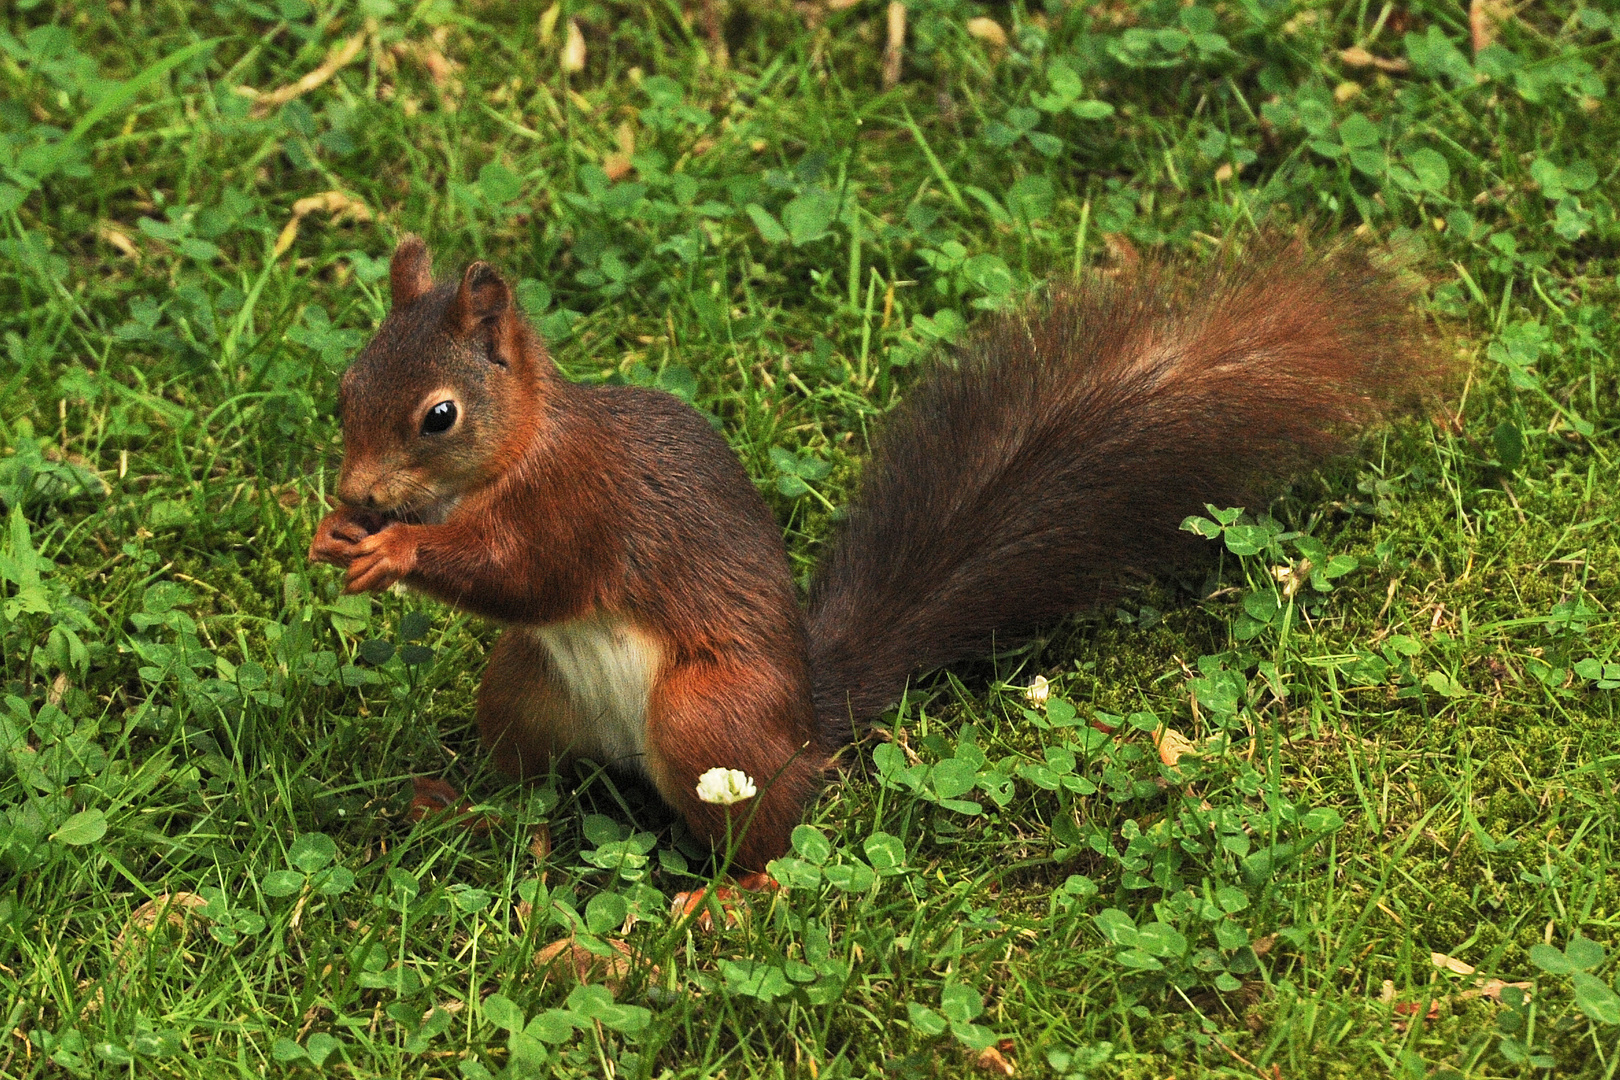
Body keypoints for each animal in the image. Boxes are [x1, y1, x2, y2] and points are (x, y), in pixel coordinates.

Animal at [309, 234, 1438, 867]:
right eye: (345, 387)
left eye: (440, 416)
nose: (357, 494)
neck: (522, 449)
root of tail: (811, 719)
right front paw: (336, 530)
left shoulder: (579, 508)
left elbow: (523, 572)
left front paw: (396, 553)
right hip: (525, 687)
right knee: (523, 778)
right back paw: (453, 802)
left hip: (705, 718)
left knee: (769, 832)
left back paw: (728, 899)